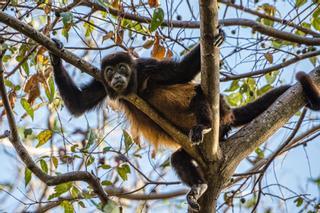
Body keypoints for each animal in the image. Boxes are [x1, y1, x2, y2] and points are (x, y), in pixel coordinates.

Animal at [48, 33, 320, 211]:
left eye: (123, 68)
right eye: (109, 71)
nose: (116, 77)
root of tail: (228, 113)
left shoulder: (147, 66)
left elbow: (181, 73)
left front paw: (212, 41)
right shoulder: (101, 84)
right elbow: (79, 103)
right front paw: (54, 54)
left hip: (220, 114)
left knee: (200, 93)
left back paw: (205, 125)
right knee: (178, 158)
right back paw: (198, 186)